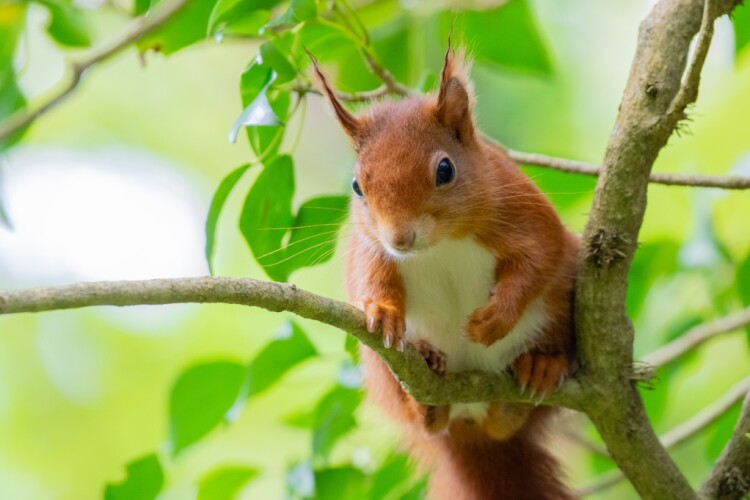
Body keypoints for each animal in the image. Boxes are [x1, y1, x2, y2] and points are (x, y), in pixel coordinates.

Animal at [311, 45, 579, 500]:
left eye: (445, 170)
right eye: (357, 187)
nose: (400, 238)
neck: (440, 246)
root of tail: (470, 424)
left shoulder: (522, 211)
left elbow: (539, 258)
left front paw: (494, 320)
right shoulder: (371, 248)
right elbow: (371, 278)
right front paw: (383, 312)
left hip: (562, 309)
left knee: (509, 418)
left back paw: (535, 372)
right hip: (380, 369)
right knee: (428, 421)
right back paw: (428, 387)